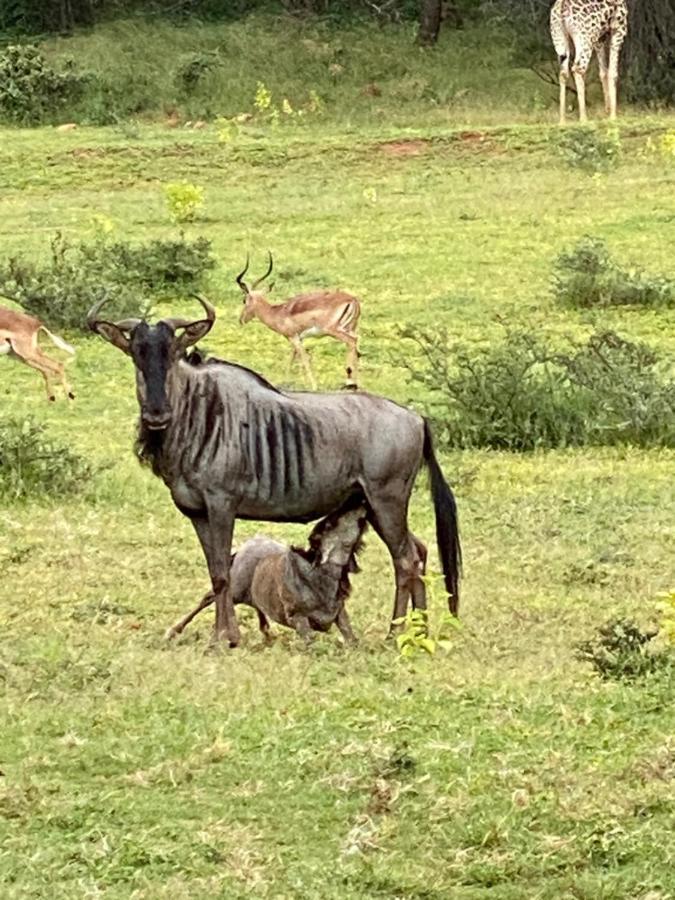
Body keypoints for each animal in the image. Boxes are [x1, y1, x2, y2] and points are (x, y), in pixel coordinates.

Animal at [166, 500, 372, 640]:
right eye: (330, 523)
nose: (361, 502)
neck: (321, 579)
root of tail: (243, 548)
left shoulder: (340, 613)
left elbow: (352, 639)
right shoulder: (298, 618)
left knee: (256, 606)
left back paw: (266, 634)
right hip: (234, 589)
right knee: (209, 598)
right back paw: (174, 630)